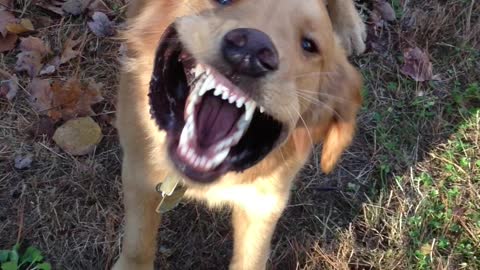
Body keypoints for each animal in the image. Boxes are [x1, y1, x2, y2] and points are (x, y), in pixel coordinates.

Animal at [113, 0, 364, 270]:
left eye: (309, 45)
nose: (251, 50)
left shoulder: (264, 203)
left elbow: (251, 258)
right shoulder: (138, 170)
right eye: (223, 1)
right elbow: (138, 243)